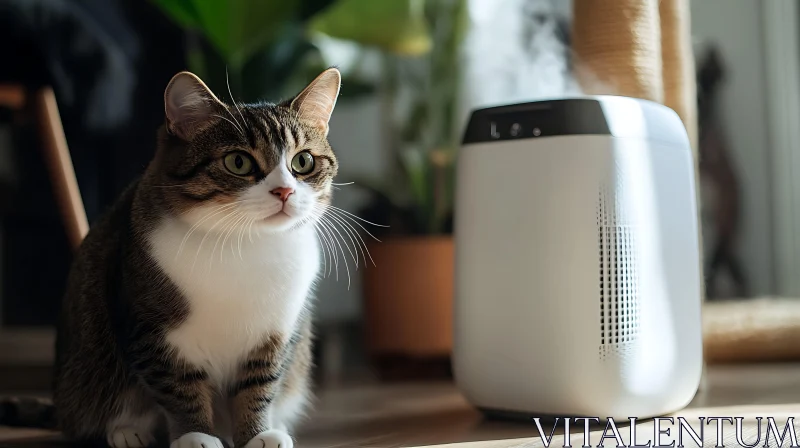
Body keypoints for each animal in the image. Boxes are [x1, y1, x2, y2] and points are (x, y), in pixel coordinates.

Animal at [0, 67, 344, 448]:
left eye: (303, 161)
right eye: (238, 162)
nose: (283, 191)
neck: (244, 244)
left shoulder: (275, 335)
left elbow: (258, 386)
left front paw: (258, 433)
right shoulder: (151, 332)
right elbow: (180, 388)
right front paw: (196, 434)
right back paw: (128, 432)